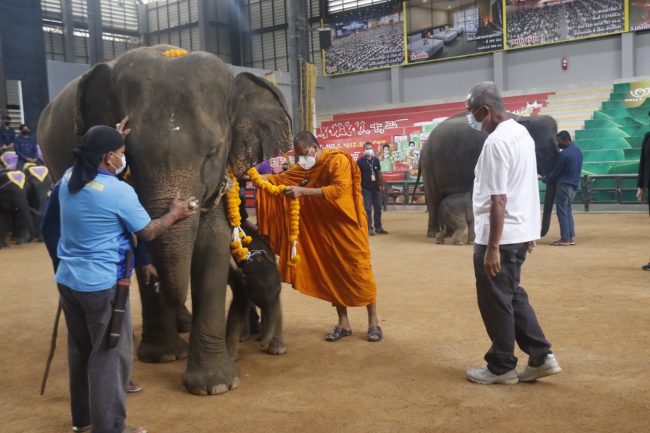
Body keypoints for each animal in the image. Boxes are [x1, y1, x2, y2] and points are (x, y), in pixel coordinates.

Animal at [225, 228, 284, 360]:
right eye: (258, 297)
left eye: (279, 291)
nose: (262, 345)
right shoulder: (238, 278)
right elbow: (239, 304)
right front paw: (230, 358)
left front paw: (276, 352)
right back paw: (244, 337)